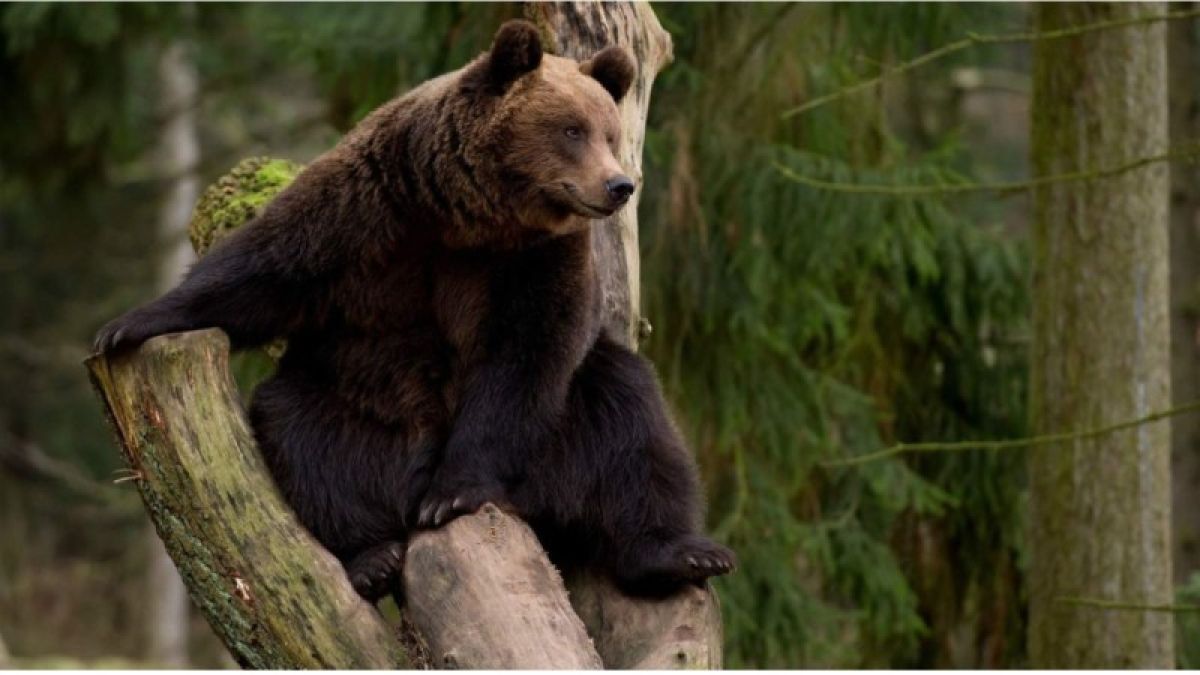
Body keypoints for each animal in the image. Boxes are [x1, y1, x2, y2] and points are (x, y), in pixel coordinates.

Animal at [94, 19, 735, 600]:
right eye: (572, 129)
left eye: (609, 132)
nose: (619, 185)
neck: (467, 215)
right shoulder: (370, 206)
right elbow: (264, 270)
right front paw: (127, 325)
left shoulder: (537, 260)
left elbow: (526, 355)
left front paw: (453, 490)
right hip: (353, 403)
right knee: (300, 436)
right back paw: (371, 555)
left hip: (561, 431)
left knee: (633, 427)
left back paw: (681, 553)